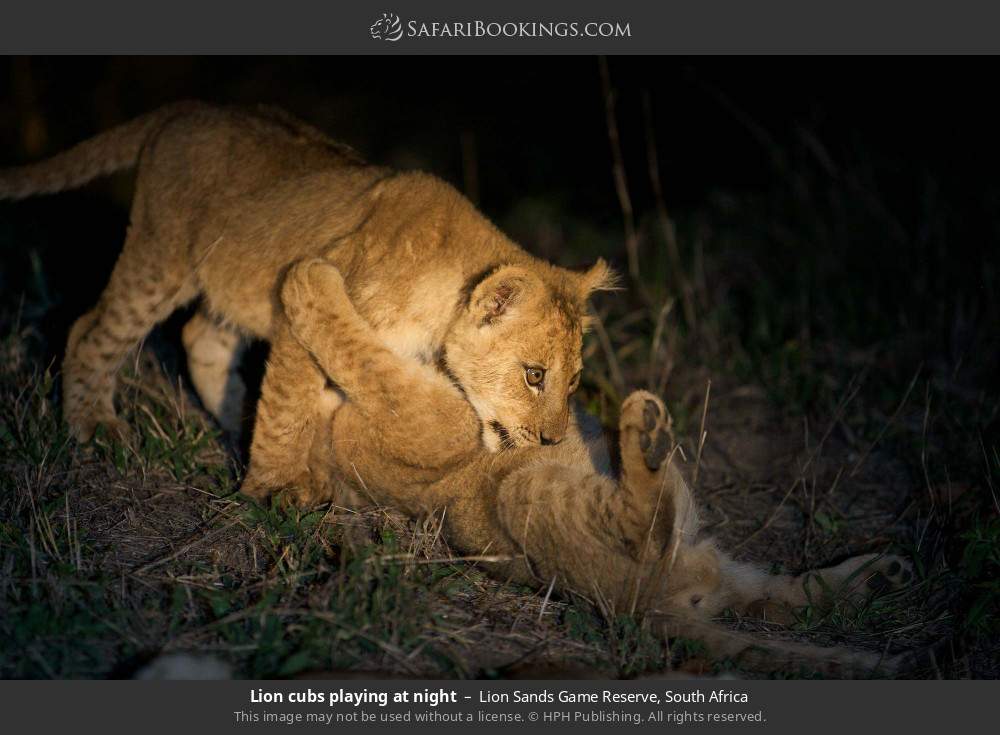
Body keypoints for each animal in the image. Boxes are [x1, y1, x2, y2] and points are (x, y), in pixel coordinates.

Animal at [0, 101, 612, 500]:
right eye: (534, 375)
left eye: (574, 383)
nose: (553, 439)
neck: (440, 302)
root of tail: (185, 108)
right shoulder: (307, 309)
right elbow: (289, 404)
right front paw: (274, 488)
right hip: (162, 256)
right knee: (91, 328)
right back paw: (94, 426)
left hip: (239, 276)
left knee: (200, 336)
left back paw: (234, 419)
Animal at [276, 257, 919, 677]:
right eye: (534, 375)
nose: (553, 434)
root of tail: (648, 608)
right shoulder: (425, 416)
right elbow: (360, 351)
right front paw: (311, 280)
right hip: (522, 492)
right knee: (648, 528)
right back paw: (646, 434)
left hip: (712, 562)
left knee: (781, 591)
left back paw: (878, 576)